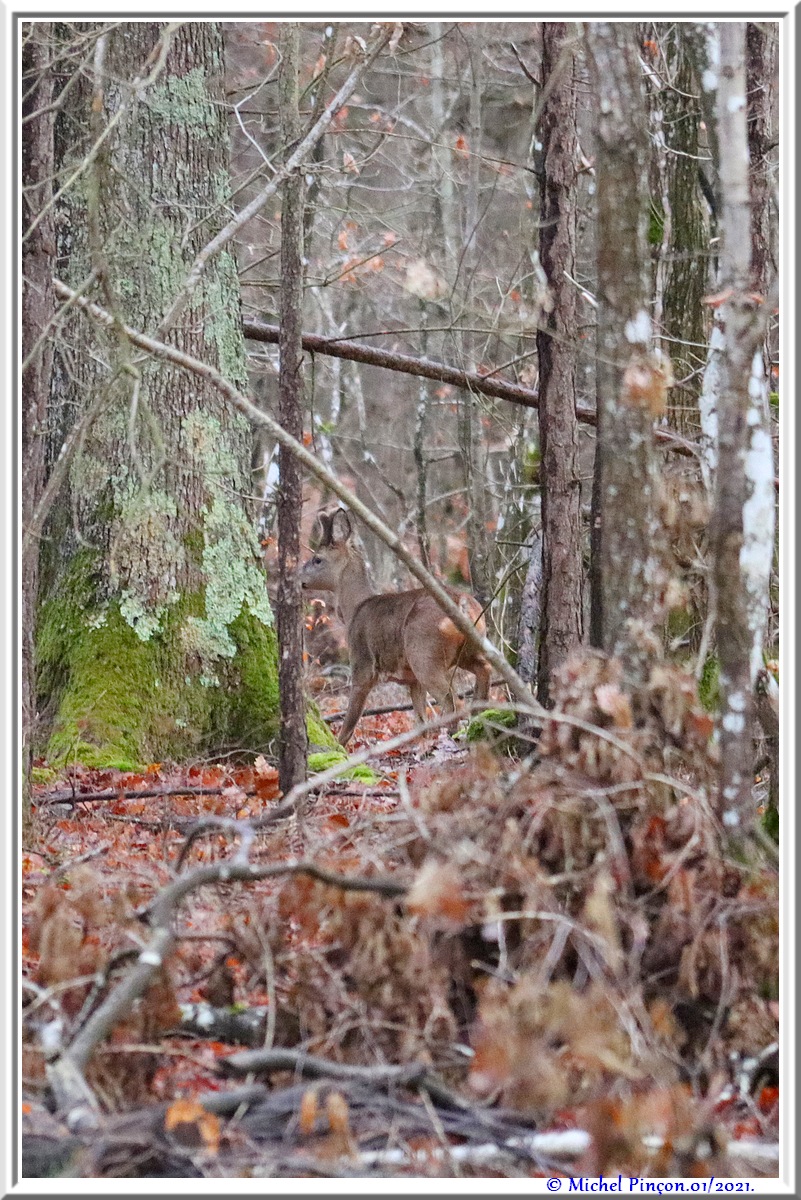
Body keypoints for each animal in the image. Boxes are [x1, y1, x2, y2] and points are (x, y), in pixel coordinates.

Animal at [298, 508, 489, 748]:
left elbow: (349, 723)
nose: (299, 578)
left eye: (317, 559)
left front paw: (340, 749)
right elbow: (420, 720)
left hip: (424, 653)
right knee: (484, 672)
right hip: (470, 647)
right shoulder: (412, 679)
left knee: (453, 701)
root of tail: (462, 601)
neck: (354, 610)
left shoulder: (362, 664)